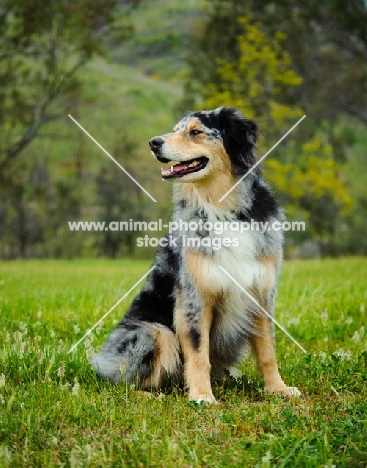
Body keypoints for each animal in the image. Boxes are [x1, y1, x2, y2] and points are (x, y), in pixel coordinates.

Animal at [90, 106, 300, 402]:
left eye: (195, 132)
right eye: (174, 130)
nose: (153, 142)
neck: (221, 206)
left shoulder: (260, 291)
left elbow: (268, 351)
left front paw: (278, 389)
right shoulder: (194, 296)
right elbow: (199, 353)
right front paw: (202, 396)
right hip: (153, 332)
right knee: (129, 381)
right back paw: (152, 395)